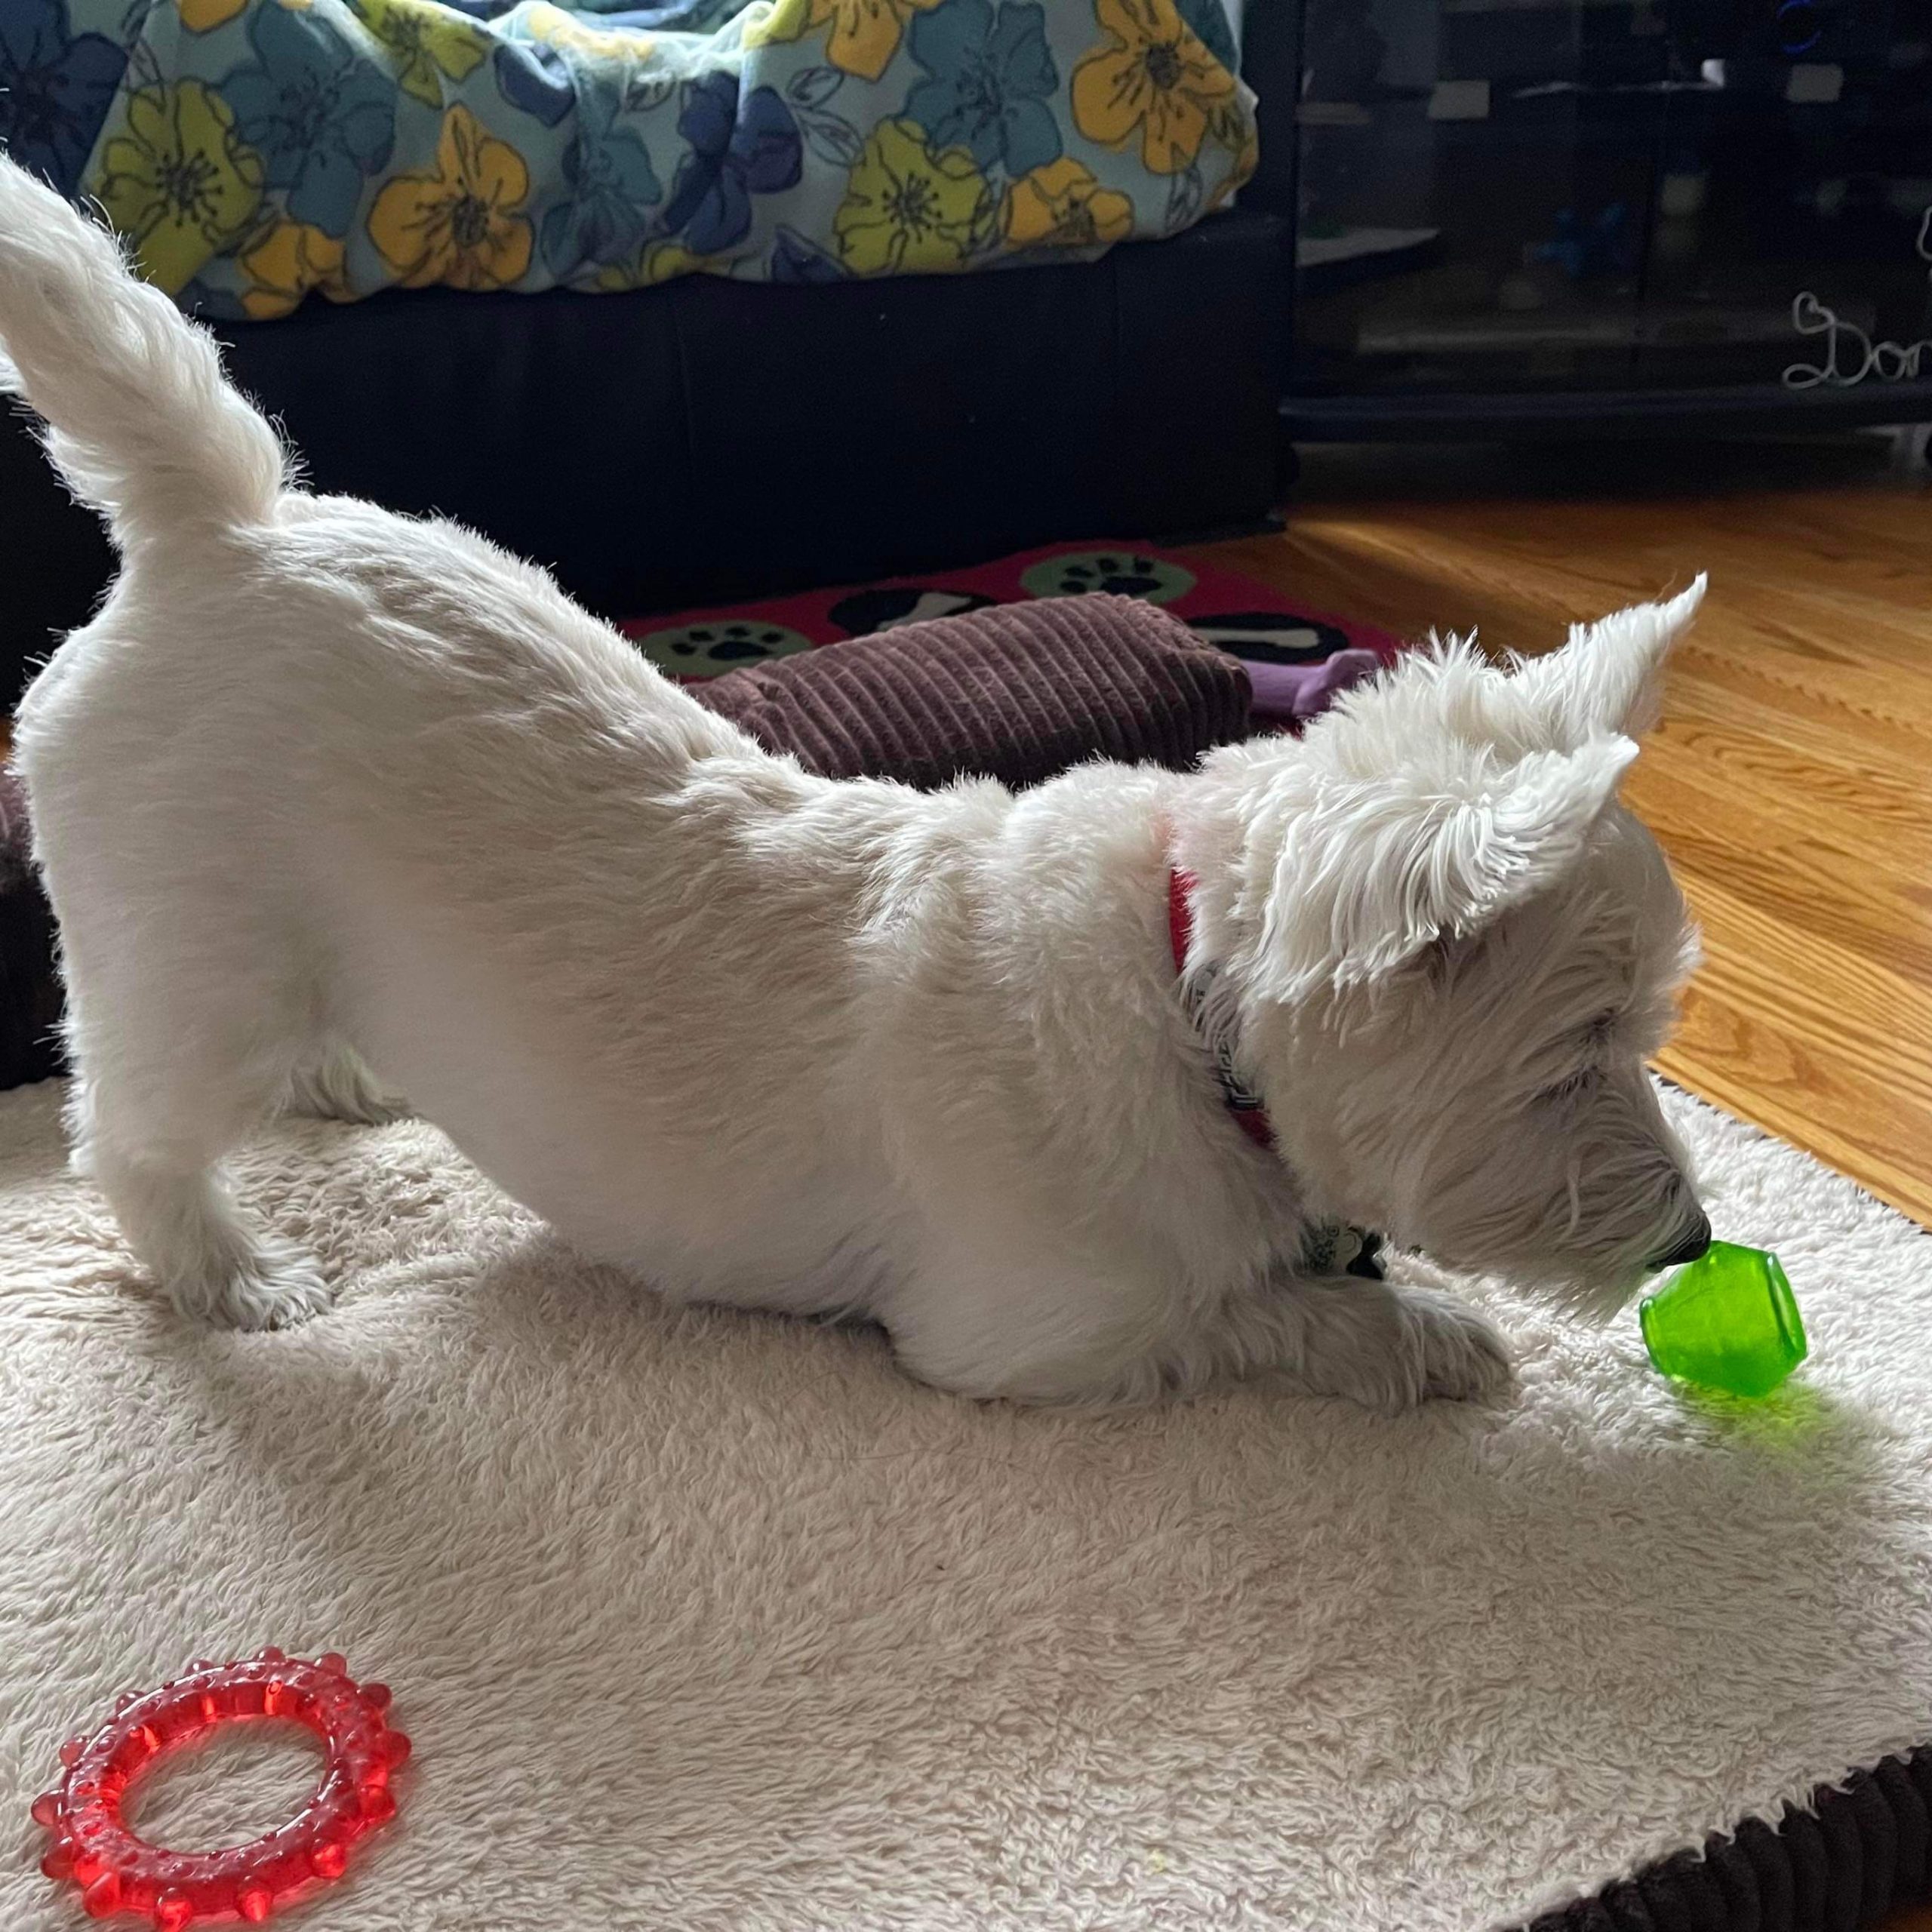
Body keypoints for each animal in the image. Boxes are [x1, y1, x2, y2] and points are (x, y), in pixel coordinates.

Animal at [0, 156, 1710, 1410]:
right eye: (1571, 1061)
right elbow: (1248, 1315)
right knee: (131, 1132)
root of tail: (221, 522)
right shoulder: (1033, 1330)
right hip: (188, 952)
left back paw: (354, 1075)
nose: (1692, 1242)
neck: (1186, 993)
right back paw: (236, 1273)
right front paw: (1431, 1339)